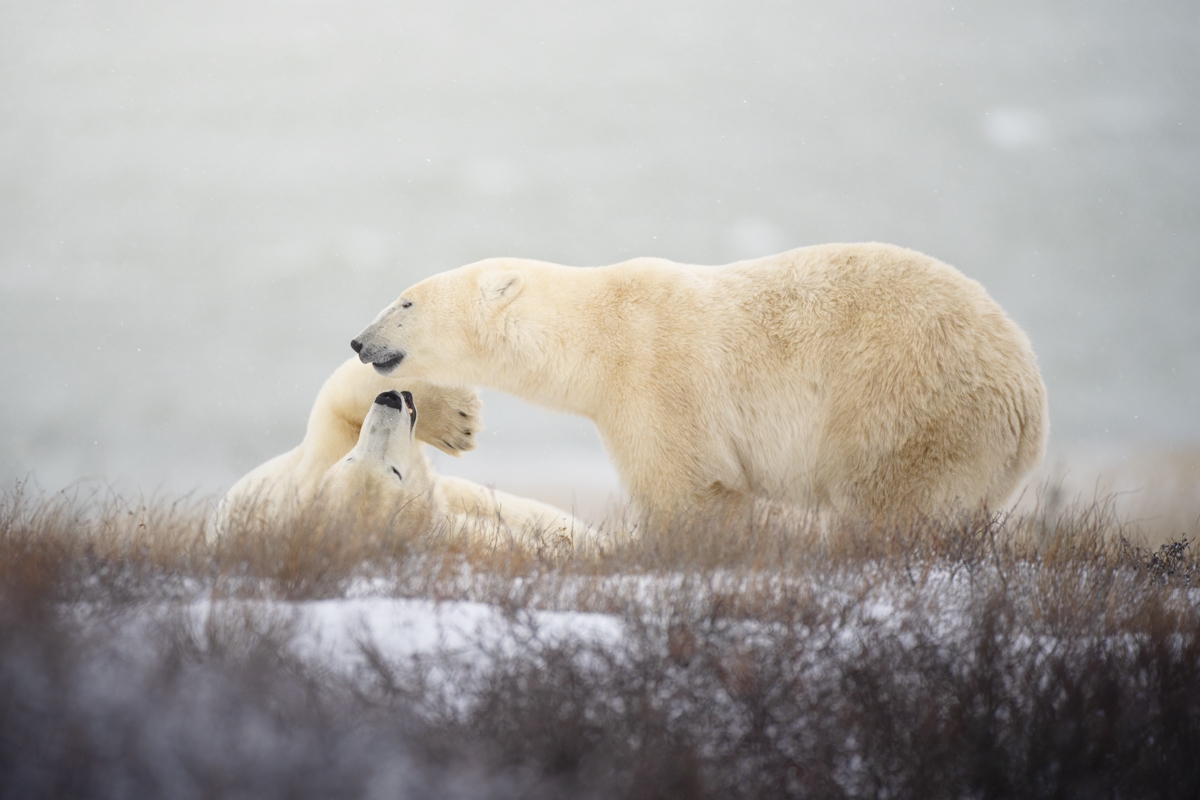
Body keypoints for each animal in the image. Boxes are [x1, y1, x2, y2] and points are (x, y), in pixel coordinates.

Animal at [349, 242, 1048, 521]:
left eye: (405, 301)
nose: (359, 341)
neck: (598, 334)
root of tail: (1028, 392)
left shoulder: (656, 380)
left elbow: (690, 489)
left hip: (908, 403)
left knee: (888, 505)